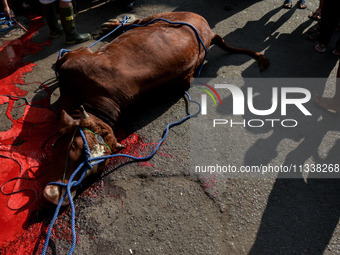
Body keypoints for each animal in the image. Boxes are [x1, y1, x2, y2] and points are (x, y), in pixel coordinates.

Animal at [43, 11, 270, 205]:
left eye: (96, 169)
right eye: (74, 146)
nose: (57, 197)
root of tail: (208, 29)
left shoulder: (76, 56)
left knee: (134, 24)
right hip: (157, 18)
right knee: (134, 23)